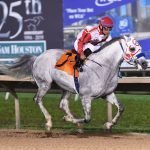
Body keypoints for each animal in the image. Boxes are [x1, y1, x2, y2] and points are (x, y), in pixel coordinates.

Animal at [0, 35, 148, 131]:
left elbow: (121, 108)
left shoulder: (107, 94)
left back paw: (73, 123)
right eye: (132, 48)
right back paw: (49, 122)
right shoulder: (85, 96)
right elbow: (87, 118)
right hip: (45, 84)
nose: (145, 63)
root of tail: (38, 57)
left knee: (63, 104)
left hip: (66, 88)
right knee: (38, 99)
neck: (103, 67)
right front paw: (67, 119)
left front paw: (108, 125)